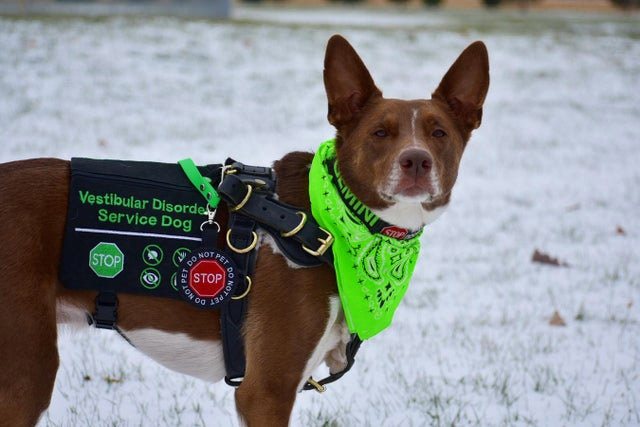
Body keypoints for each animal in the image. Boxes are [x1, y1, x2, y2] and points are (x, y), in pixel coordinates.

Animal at [0, 35, 490, 426]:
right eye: (380, 133)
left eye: (439, 133)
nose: (416, 160)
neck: (331, 223)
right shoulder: (265, 391)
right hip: (26, 368)